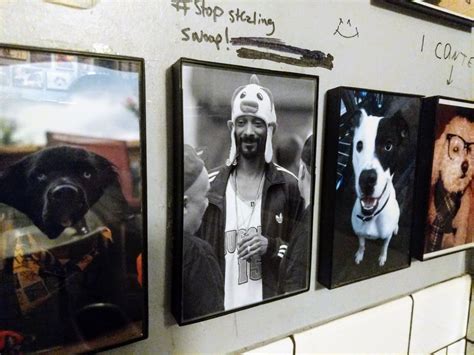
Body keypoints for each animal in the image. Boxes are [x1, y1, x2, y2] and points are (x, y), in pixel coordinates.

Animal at [350, 110, 410, 266]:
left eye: (388, 146)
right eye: (359, 146)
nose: (367, 179)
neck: (370, 216)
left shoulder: (386, 237)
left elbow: (384, 246)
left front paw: (382, 258)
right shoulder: (359, 233)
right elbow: (362, 244)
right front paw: (360, 255)